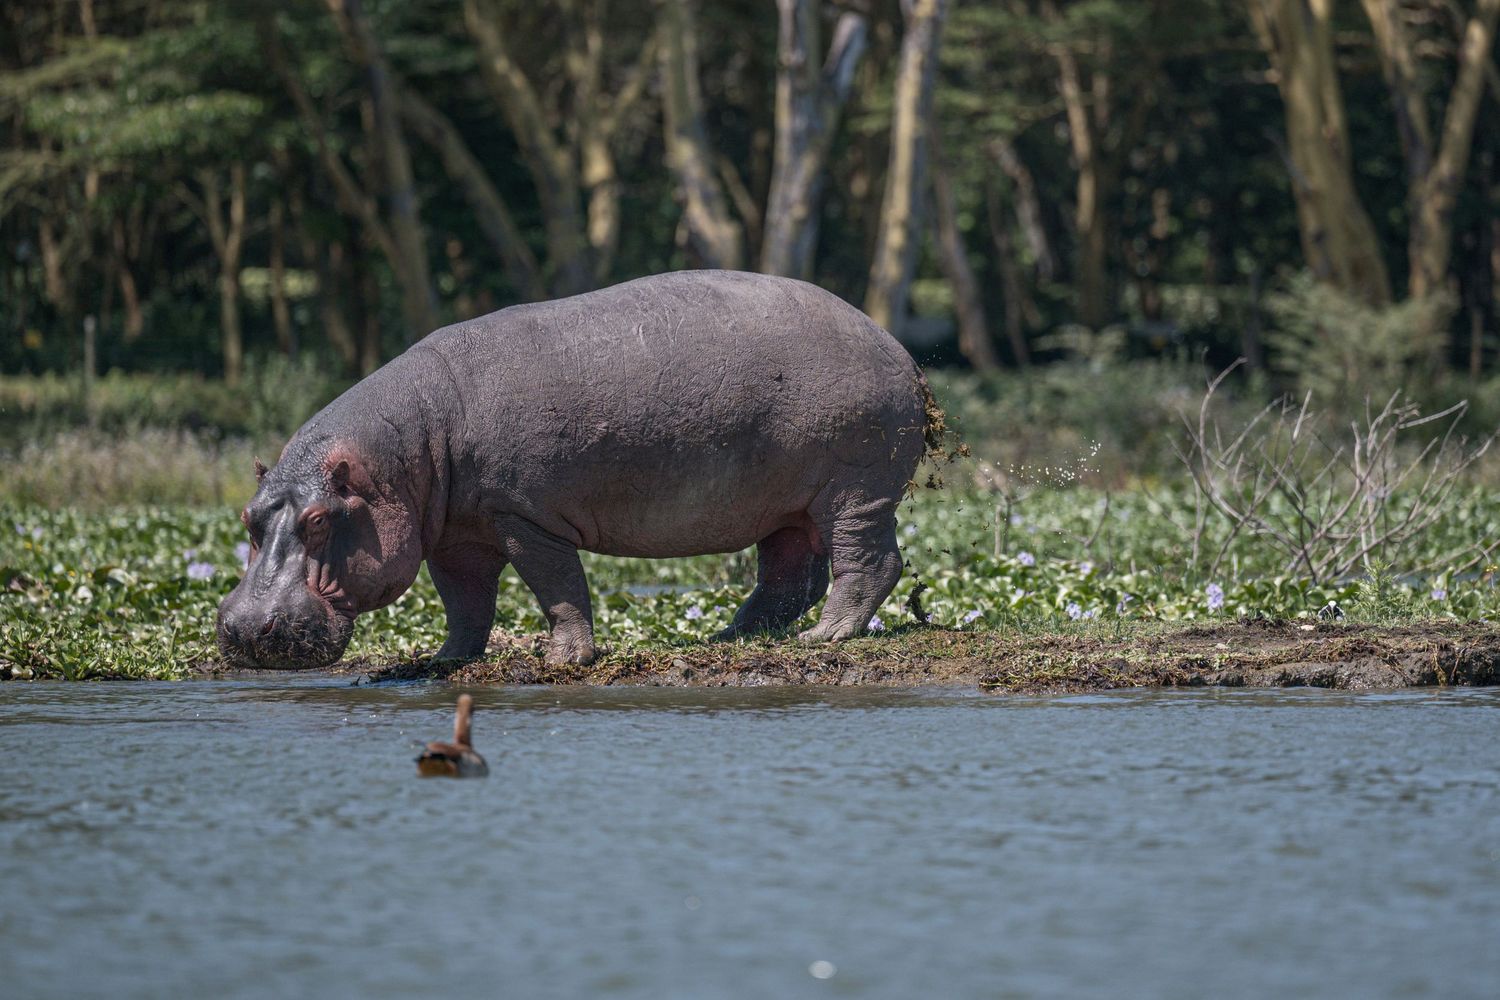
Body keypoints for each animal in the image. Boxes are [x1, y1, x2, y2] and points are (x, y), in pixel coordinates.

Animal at [216, 270, 933, 669]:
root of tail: (899, 348)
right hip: (784, 504)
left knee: (869, 562)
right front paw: (444, 659)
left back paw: (824, 637)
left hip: (854, 488)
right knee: (788, 575)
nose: (247, 627)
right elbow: (465, 601)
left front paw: (565, 657)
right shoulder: (452, 534)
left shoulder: (523, 515)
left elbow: (556, 586)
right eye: (248, 517)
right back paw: (728, 637)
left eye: (318, 521)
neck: (405, 453)